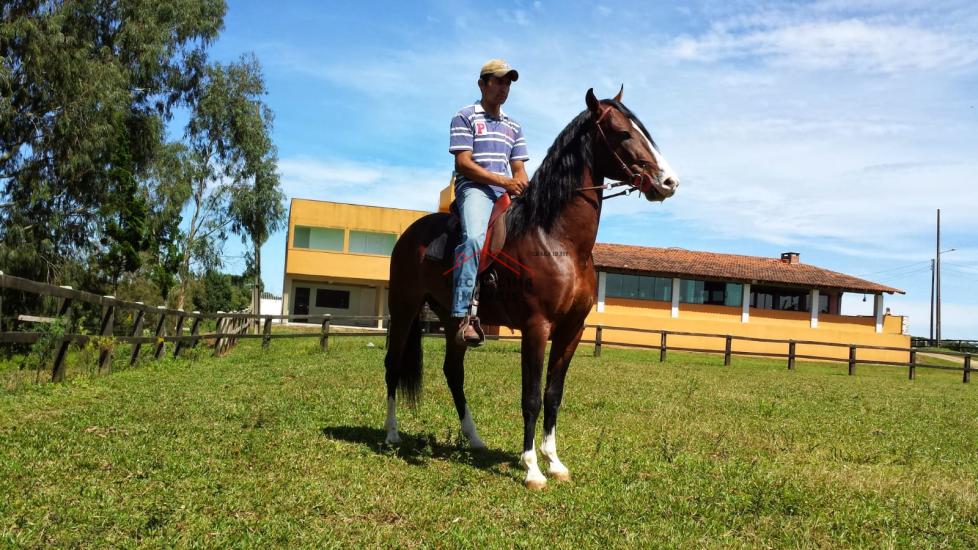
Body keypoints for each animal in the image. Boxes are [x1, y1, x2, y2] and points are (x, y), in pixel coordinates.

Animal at [384, 87, 680, 492]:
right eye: (622, 133)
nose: (669, 182)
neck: (557, 240)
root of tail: (410, 234)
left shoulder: (572, 331)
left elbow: (553, 396)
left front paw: (554, 462)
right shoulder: (536, 328)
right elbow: (531, 398)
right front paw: (532, 470)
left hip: (452, 320)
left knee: (453, 373)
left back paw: (474, 438)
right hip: (404, 309)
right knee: (393, 365)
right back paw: (391, 434)